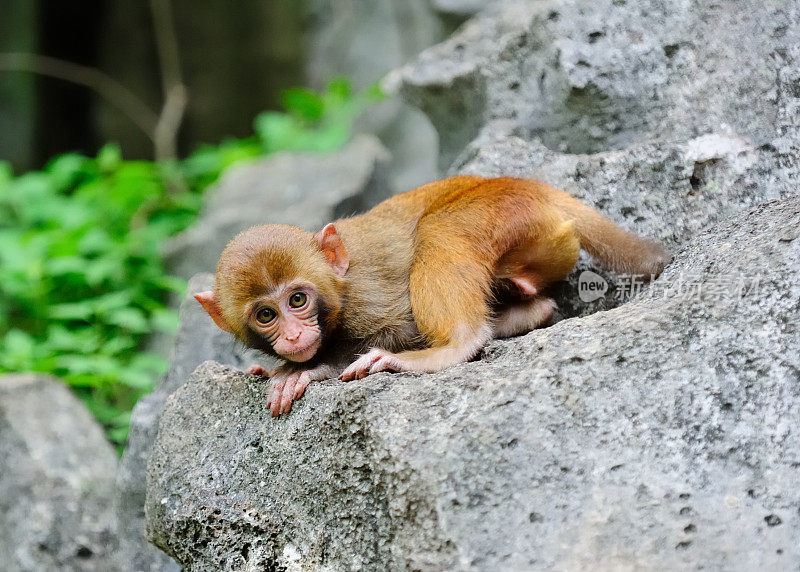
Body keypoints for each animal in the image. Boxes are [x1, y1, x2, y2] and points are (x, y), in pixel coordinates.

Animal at [195, 175, 668, 416]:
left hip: (496, 209)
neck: (339, 286)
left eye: (297, 301)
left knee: (439, 231)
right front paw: (275, 367)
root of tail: (522, 182)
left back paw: (452, 346)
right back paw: (527, 308)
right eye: (266, 315)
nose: (293, 337)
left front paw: (306, 370)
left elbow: (399, 326)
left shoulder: (366, 296)